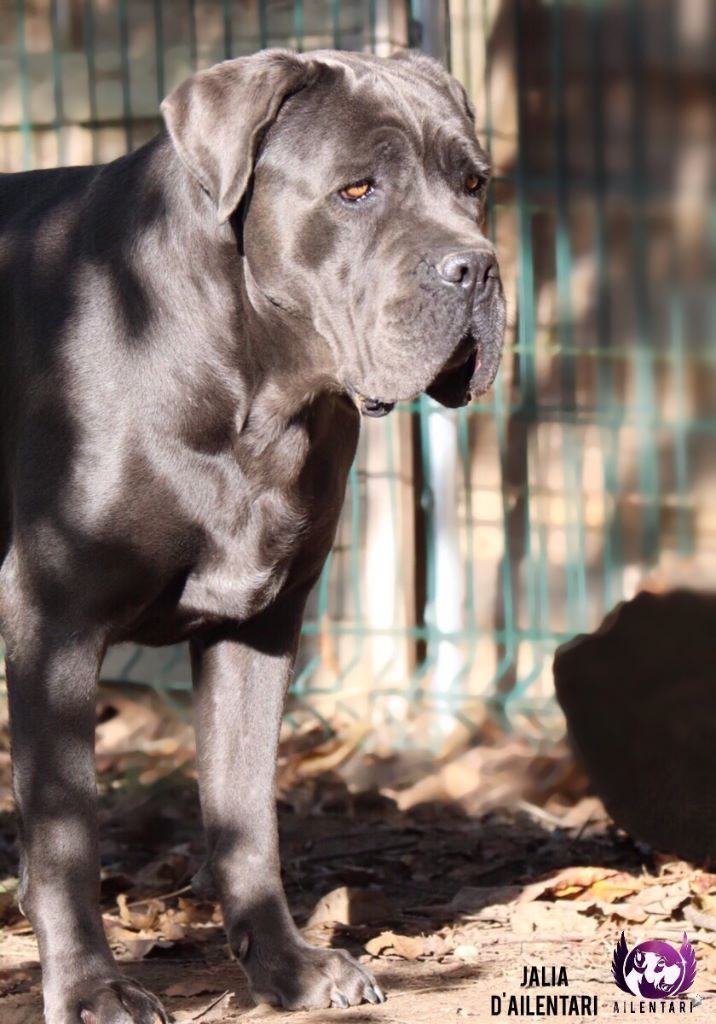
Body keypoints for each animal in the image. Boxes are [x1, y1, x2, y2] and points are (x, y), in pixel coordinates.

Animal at [0, 48, 505, 1022]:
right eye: (356, 190)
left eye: (473, 184)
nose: (477, 269)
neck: (260, 388)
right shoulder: (51, 617)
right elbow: (66, 827)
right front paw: (90, 989)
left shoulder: (258, 624)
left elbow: (245, 815)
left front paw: (287, 969)